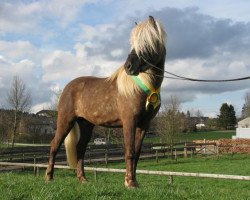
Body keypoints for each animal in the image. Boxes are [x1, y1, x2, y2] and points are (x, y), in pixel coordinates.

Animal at [45, 15, 166, 188]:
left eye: (147, 42)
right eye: (133, 43)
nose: (128, 66)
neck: (138, 88)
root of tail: (68, 87)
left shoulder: (144, 124)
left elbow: (136, 153)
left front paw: (133, 181)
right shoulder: (129, 121)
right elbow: (129, 151)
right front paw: (130, 182)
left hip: (86, 124)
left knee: (80, 148)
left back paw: (83, 179)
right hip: (65, 120)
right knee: (55, 145)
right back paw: (49, 177)